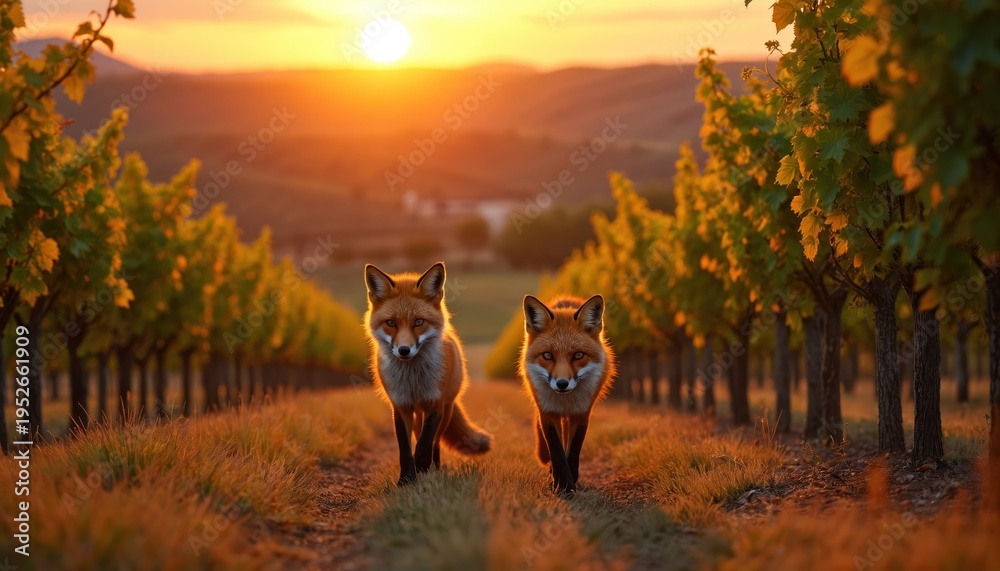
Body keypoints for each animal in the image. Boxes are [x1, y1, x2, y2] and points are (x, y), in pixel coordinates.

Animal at [363, 262, 492, 486]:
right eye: (391, 323)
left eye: (418, 322)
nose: (404, 350)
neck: (413, 381)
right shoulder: (401, 406)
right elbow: (406, 450)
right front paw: (406, 479)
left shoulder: (435, 404)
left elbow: (424, 446)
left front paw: (422, 470)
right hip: (418, 415)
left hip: (446, 411)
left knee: (436, 442)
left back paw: (436, 468)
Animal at [520, 294, 615, 495]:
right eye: (547, 355)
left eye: (578, 355)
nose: (562, 384)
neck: (566, 402)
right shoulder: (548, 414)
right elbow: (557, 451)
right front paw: (562, 484)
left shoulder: (581, 414)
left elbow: (572, 452)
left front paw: (570, 483)